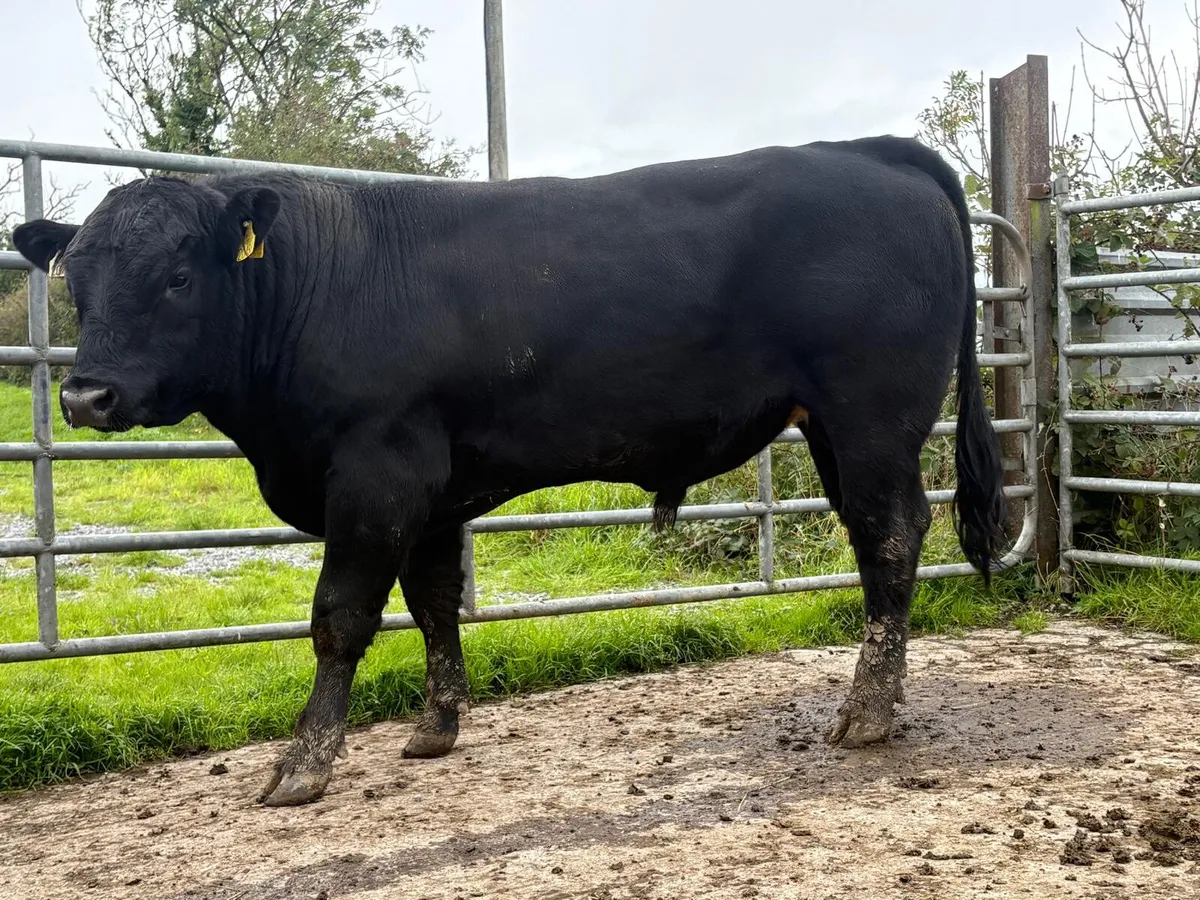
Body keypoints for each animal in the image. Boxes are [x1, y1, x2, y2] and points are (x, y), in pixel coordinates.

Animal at [13, 135, 1007, 807]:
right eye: (78, 282)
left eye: (178, 277)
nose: (88, 396)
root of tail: (868, 150)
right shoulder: (430, 488)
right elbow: (433, 603)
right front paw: (435, 727)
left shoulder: (375, 471)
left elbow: (340, 618)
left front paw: (304, 763)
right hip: (835, 430)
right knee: (882, 541)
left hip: (872, 417)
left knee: (889, 539)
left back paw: (867, 713)